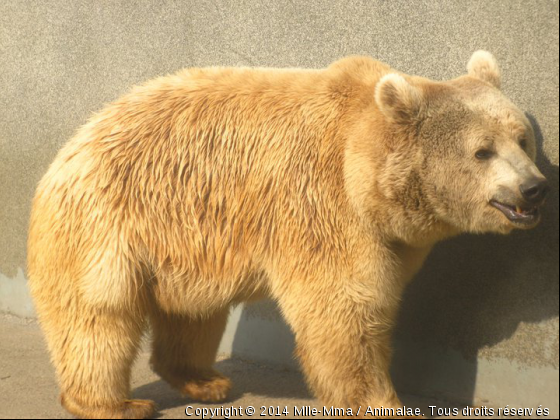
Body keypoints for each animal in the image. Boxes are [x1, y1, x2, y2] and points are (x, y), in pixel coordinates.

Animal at [28, 50, 548, 418]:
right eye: (482, 150)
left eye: (521, 138)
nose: (535, 187)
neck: (365, 168)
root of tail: (66, 150)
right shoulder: (323, 206)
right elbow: (345, 308)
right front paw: (385, 404)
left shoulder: (390, 238)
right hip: (106, 225)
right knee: (98, 318)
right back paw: (116, 404)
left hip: (186, 245)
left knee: (193, 314)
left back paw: (206, 381)